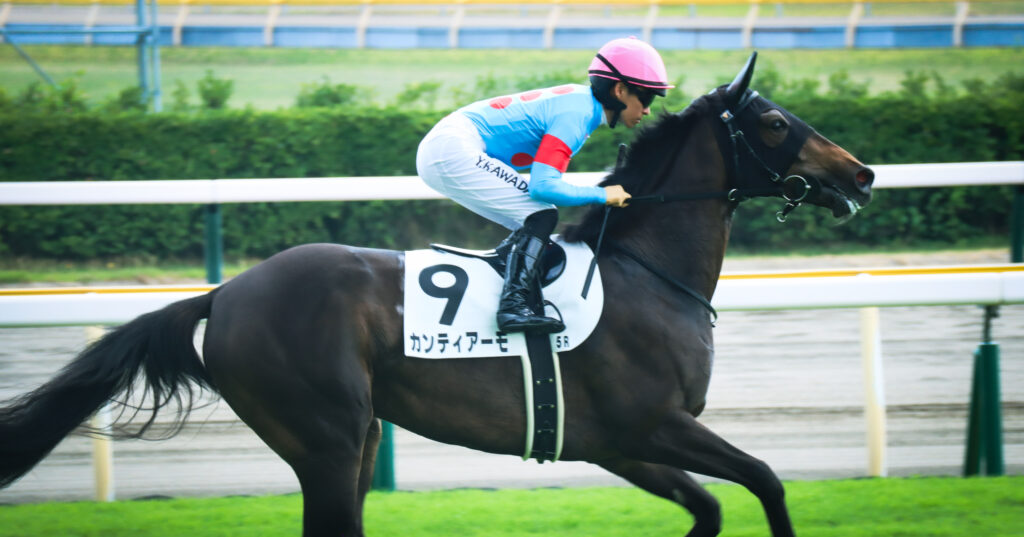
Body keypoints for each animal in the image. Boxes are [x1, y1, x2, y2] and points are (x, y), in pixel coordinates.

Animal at [0, 53, 873, 537]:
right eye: (772, 122)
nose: (862, 172)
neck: (645, 275)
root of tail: (225, 293)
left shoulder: (620, 444)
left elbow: (713, 508)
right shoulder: (653, 424)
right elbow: (765, 479)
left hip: (350, 440)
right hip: (325, 438)